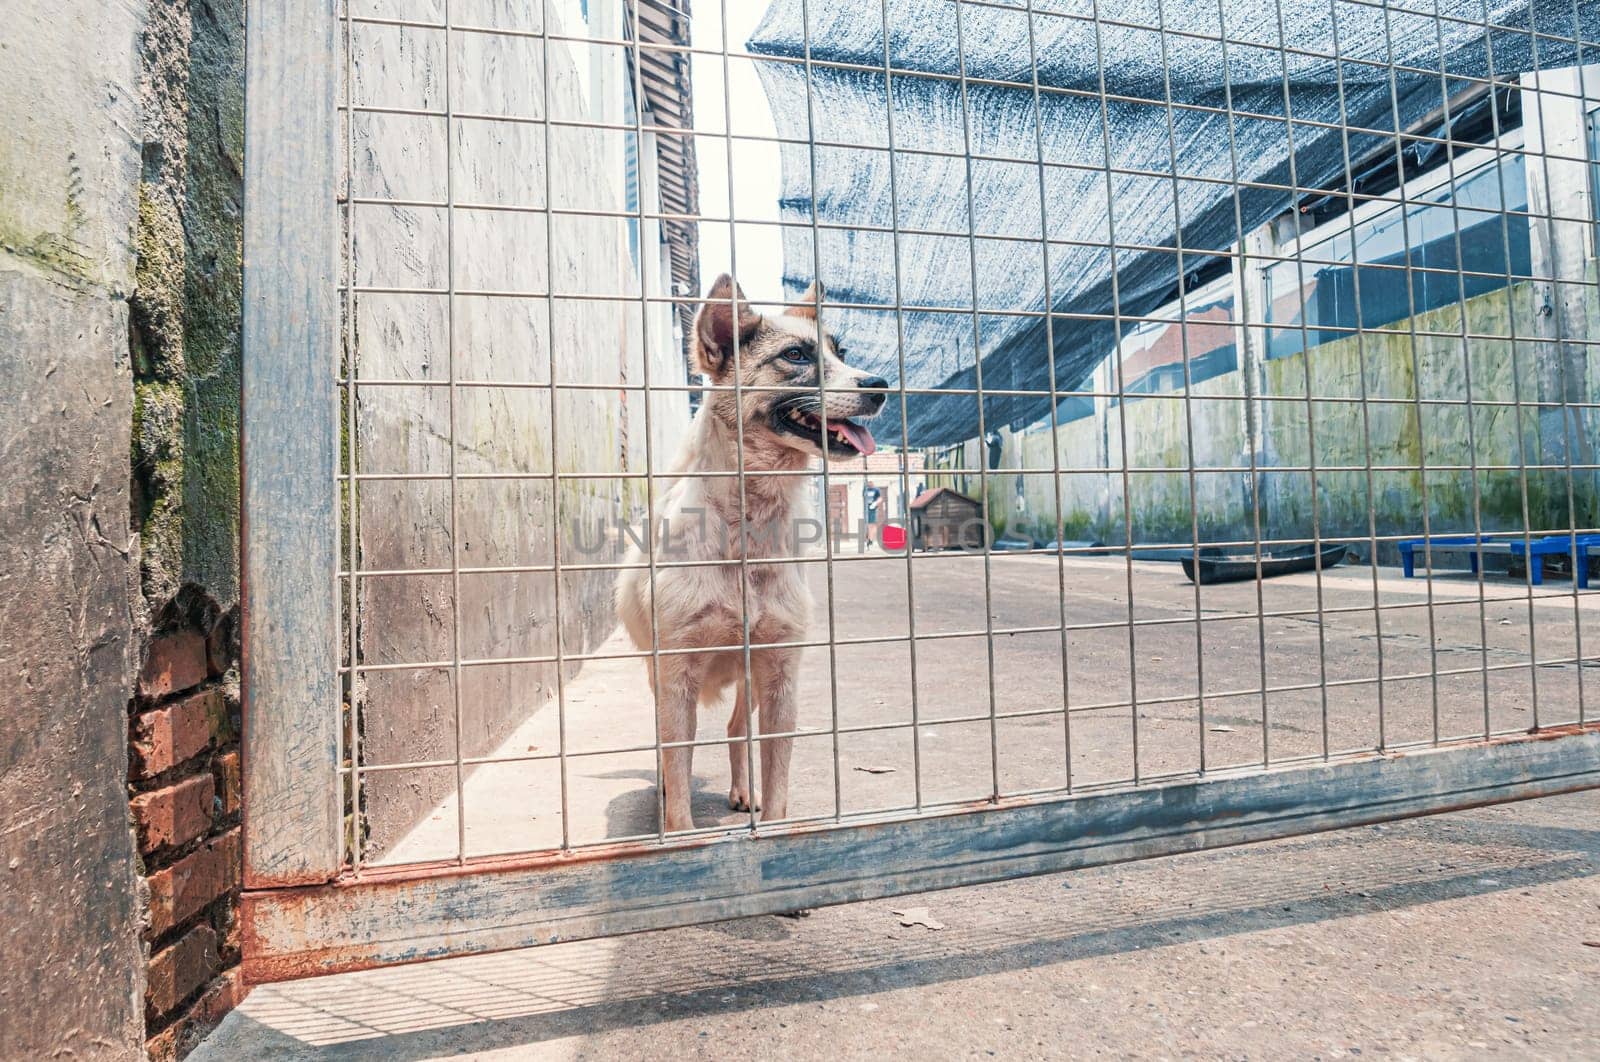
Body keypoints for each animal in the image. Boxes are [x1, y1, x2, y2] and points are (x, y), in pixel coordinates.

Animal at [611, 271, 889, 831]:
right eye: (796, 356)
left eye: (841, 353)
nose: (880, 386)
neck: (748, 531)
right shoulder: (675, 677)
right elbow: (678, 766)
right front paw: (678, 829)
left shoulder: (781, 673)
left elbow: (776, 769)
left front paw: (773, 819)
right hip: (660, 676)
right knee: (670, 751)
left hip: (750, 681)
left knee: (738, 729)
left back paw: (743, 791)